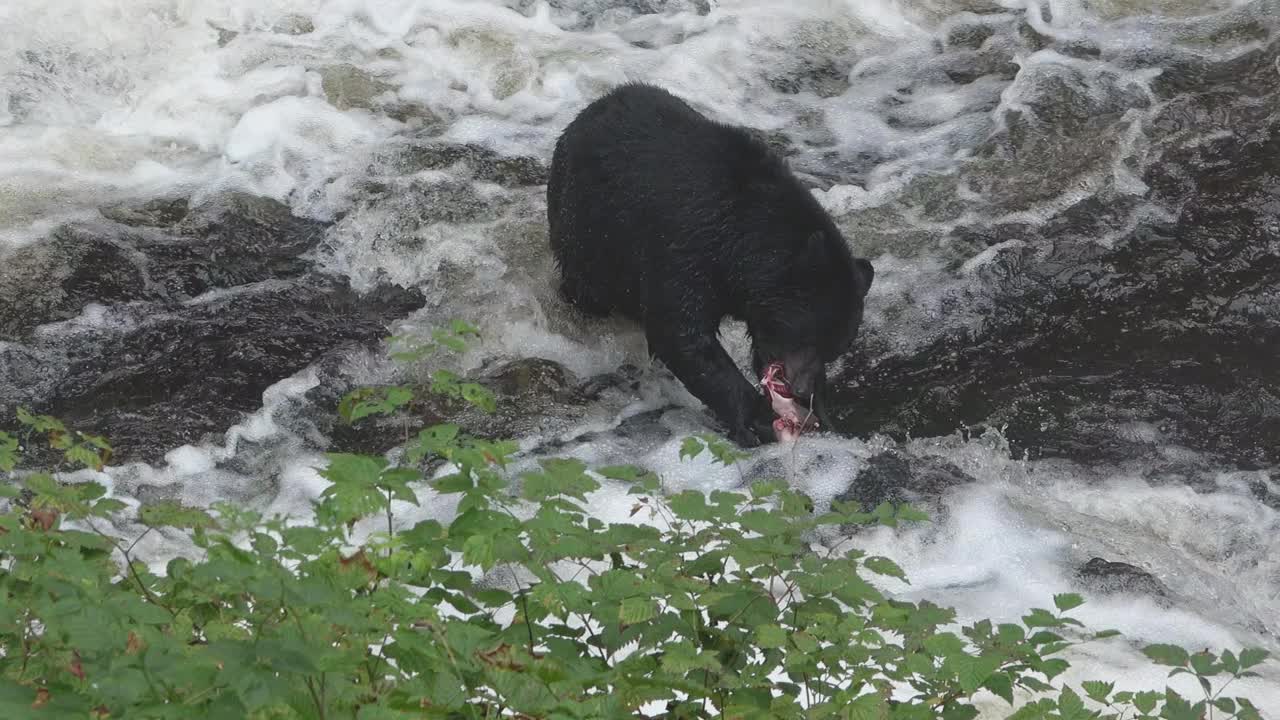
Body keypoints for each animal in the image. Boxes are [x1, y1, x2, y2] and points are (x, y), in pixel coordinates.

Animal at [545, 82, 875, 443]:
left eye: (836, 348)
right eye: (807, 334)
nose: (802, 388)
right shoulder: (686, 245)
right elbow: (680, 331)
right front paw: (756, 417)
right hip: (586, 228)